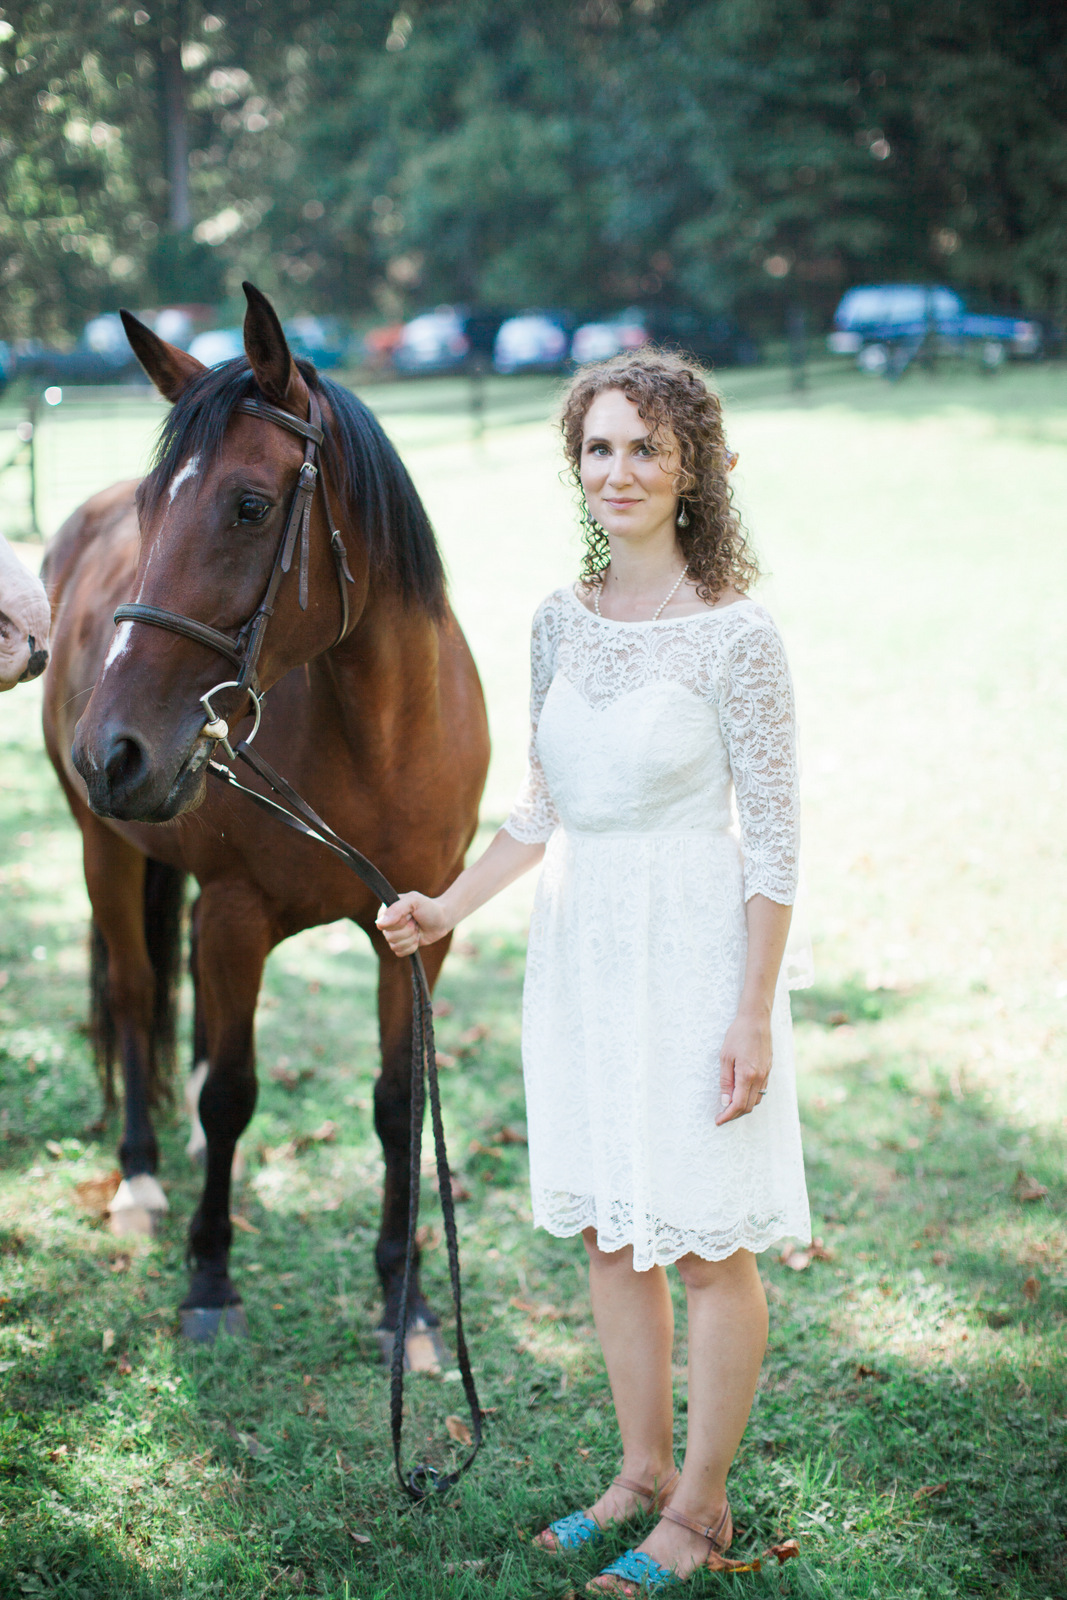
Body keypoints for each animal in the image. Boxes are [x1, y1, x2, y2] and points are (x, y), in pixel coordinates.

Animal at [41, 281, 489, 1356]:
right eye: (151, 510)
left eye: (248, 506)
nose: (111, 751)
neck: (378, 739)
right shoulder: (238, 917)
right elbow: (233, 1092)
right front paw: (209, 1277)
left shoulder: (417, 930)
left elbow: (396, 1104)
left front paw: (405, 1292)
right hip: (105, 855)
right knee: (135, 999)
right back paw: (144, 1177)